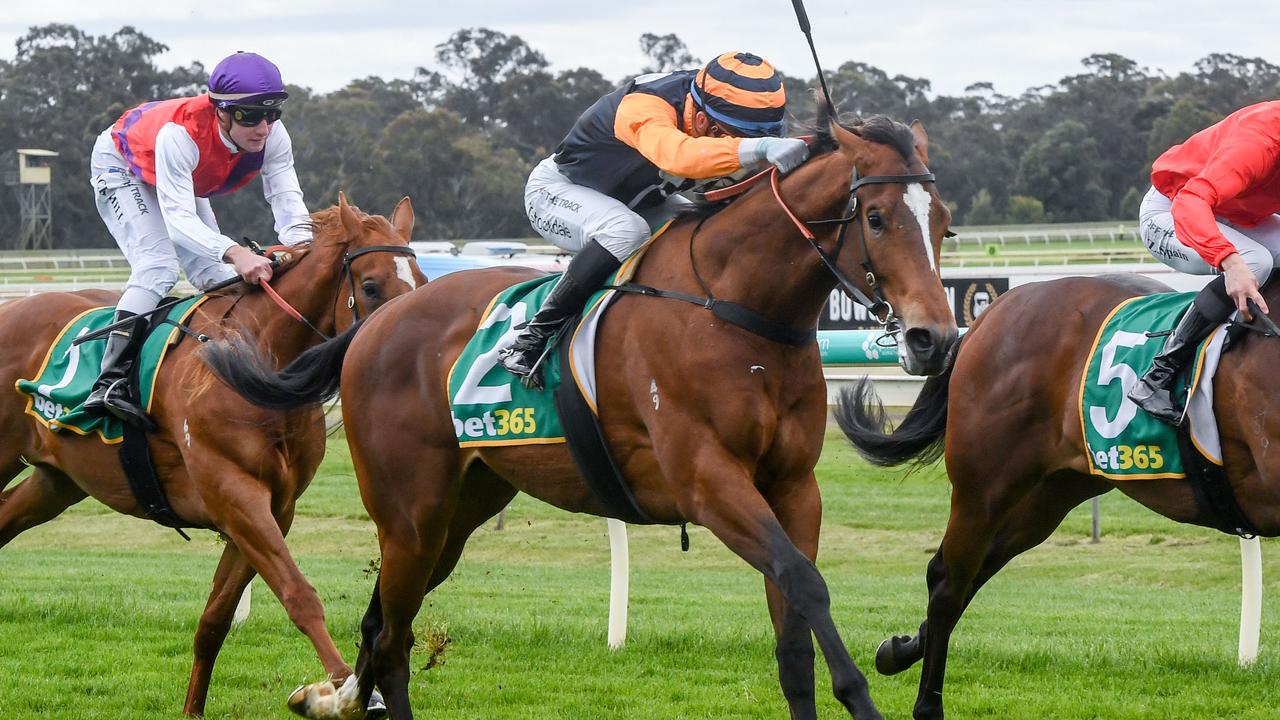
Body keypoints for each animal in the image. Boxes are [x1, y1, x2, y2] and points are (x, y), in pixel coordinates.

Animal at [0, 194, 424, 717]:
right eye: (369, 285)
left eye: (420, 280)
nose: (396, 345)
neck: (255, 366)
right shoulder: (234, 494)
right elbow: (299, 594)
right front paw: (342, 691)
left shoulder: (271, 508)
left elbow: (215, 620)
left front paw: (193, 708)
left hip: (56, 481)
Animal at [202, 109, 962, 712]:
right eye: (876, 218)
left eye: (945, 224)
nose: (934, 338)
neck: (736, 312)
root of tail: (372, 326)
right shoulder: (709, 482)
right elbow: (805, 582)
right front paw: (862, 694)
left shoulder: (792, 486)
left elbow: (794, 629)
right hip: (409, 512)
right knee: (391, 639)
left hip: (460, 509)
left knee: (386, 624)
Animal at [834, 272, 1280, 717]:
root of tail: (991, 314)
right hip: (984, 488)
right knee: (948, 579)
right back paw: (927, 703)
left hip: (1052, 492)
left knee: (976, 568)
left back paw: (897, 651)